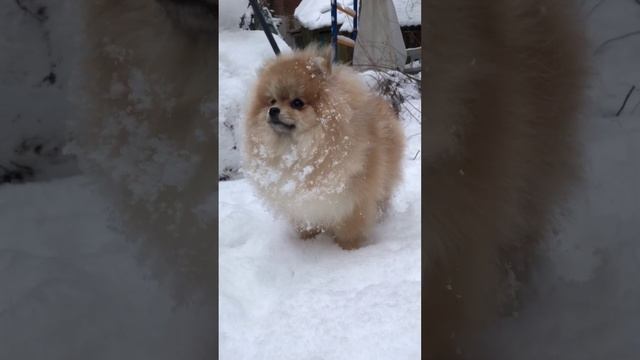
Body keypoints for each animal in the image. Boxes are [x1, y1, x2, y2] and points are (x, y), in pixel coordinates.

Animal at [242, 45, 402, 250]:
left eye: (297, 103)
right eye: (272, 101)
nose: (273, 111)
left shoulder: (354, 199)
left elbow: (351, 228)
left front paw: (349, 249)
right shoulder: (301, 201)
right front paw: (308, 242)